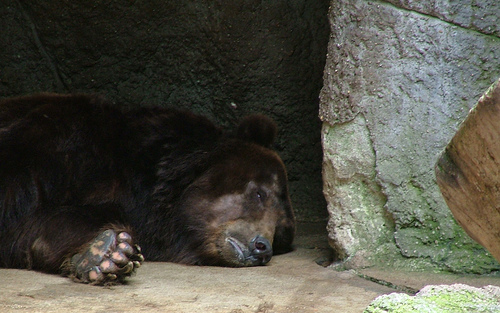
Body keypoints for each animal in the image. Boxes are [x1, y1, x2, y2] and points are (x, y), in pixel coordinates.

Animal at [0, 92, 294, 282]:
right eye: (260, 193)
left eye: (280, 232)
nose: (262, 247)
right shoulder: (56, 141)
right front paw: (108, 250)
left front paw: (105, 252)